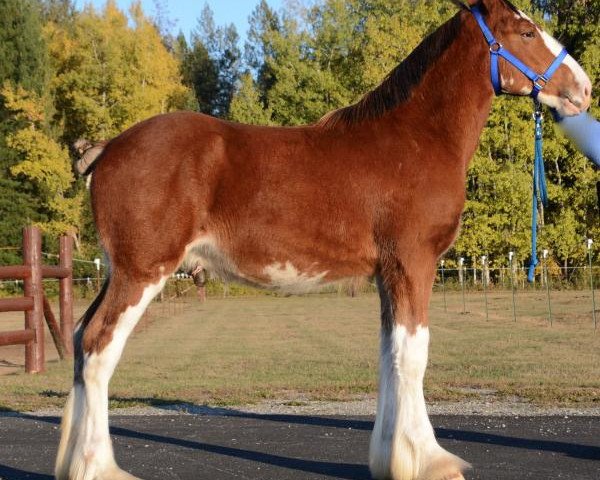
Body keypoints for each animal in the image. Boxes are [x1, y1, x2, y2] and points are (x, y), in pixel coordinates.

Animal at [56, 0, 592, 480]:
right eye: (526, 32)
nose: (583, 89)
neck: (416, 138)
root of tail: (107, 149)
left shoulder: (388, 273)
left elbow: (389, 355)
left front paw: (392, 459)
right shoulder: (413, 262)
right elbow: (414, 355)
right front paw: (432, 462)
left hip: (119, 270)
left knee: (80, 339)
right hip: (142, 270)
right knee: (99, 347)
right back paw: (98, 468)